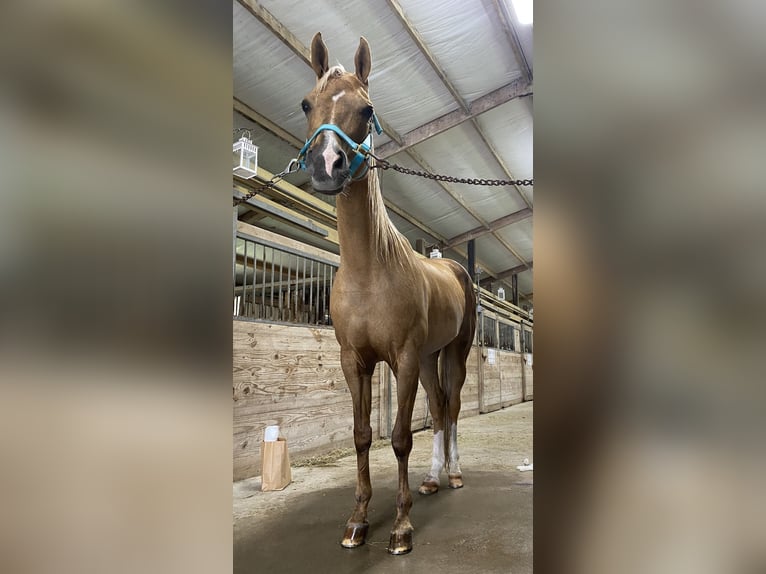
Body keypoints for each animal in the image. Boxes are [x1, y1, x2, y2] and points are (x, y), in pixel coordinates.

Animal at [298, 32, 474, 560]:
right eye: (307, 103)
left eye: (367, 109)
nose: (326, 165)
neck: (369, 271)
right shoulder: (354, 360)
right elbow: (361, 437)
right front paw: (358, 521)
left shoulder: (405, 358)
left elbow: (397, 439)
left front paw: (400, 527)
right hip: (433, 356)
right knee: (438, 409)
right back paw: (433, 478)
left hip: (454, 353)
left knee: (452, 408)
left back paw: (454, 473)